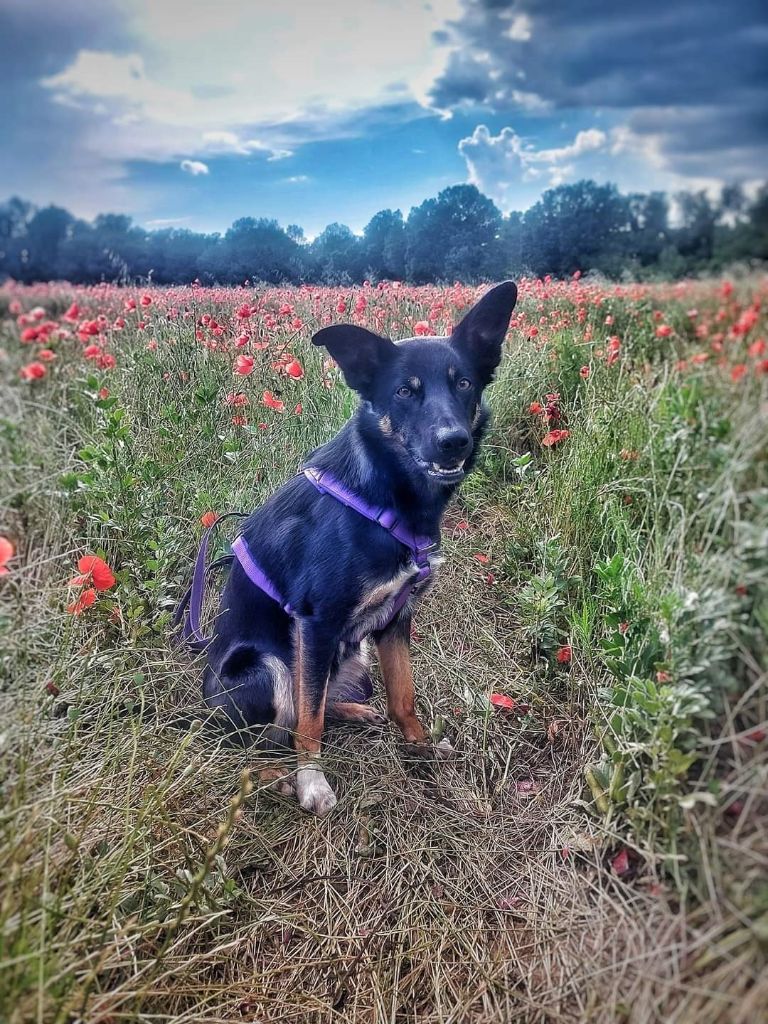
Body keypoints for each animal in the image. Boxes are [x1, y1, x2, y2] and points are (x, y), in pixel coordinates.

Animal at [201, 280, 520, 815]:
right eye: (404, 391)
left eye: (463, 384)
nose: (453, 441)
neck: (386, 495)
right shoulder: (316, 623)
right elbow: (308, 724)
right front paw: (311, 782)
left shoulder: (396, 618)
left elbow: (402, 695)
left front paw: (418, 747)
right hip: (269, 666)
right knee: (260, 736)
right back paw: (277, 777)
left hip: (356, 658)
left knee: (318, 701)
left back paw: (354, 711)